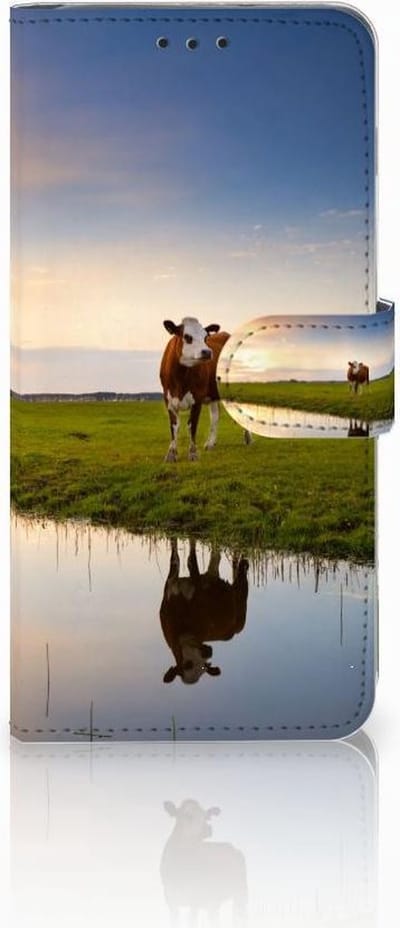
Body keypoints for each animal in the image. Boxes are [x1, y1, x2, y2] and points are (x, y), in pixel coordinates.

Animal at [160, 316, 250, 462]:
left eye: (205, 337)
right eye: (187, 337)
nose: (207, 352)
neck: (180, 378)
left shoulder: (197, 399)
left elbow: (192, 425)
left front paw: (193, 453)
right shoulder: (168, 400)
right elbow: (174, 426)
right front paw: (171, 454)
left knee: (241, 413)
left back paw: (247, 438)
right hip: (213, 393)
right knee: (215, 416)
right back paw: (210, 443)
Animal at [160, 539, 249, 685]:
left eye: (204, 667)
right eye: (187, 664)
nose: (208, 652)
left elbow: (191, 561)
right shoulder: (170, 584)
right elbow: (175, 558)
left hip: (241, 608)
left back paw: (244, 564)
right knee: (215, 559)